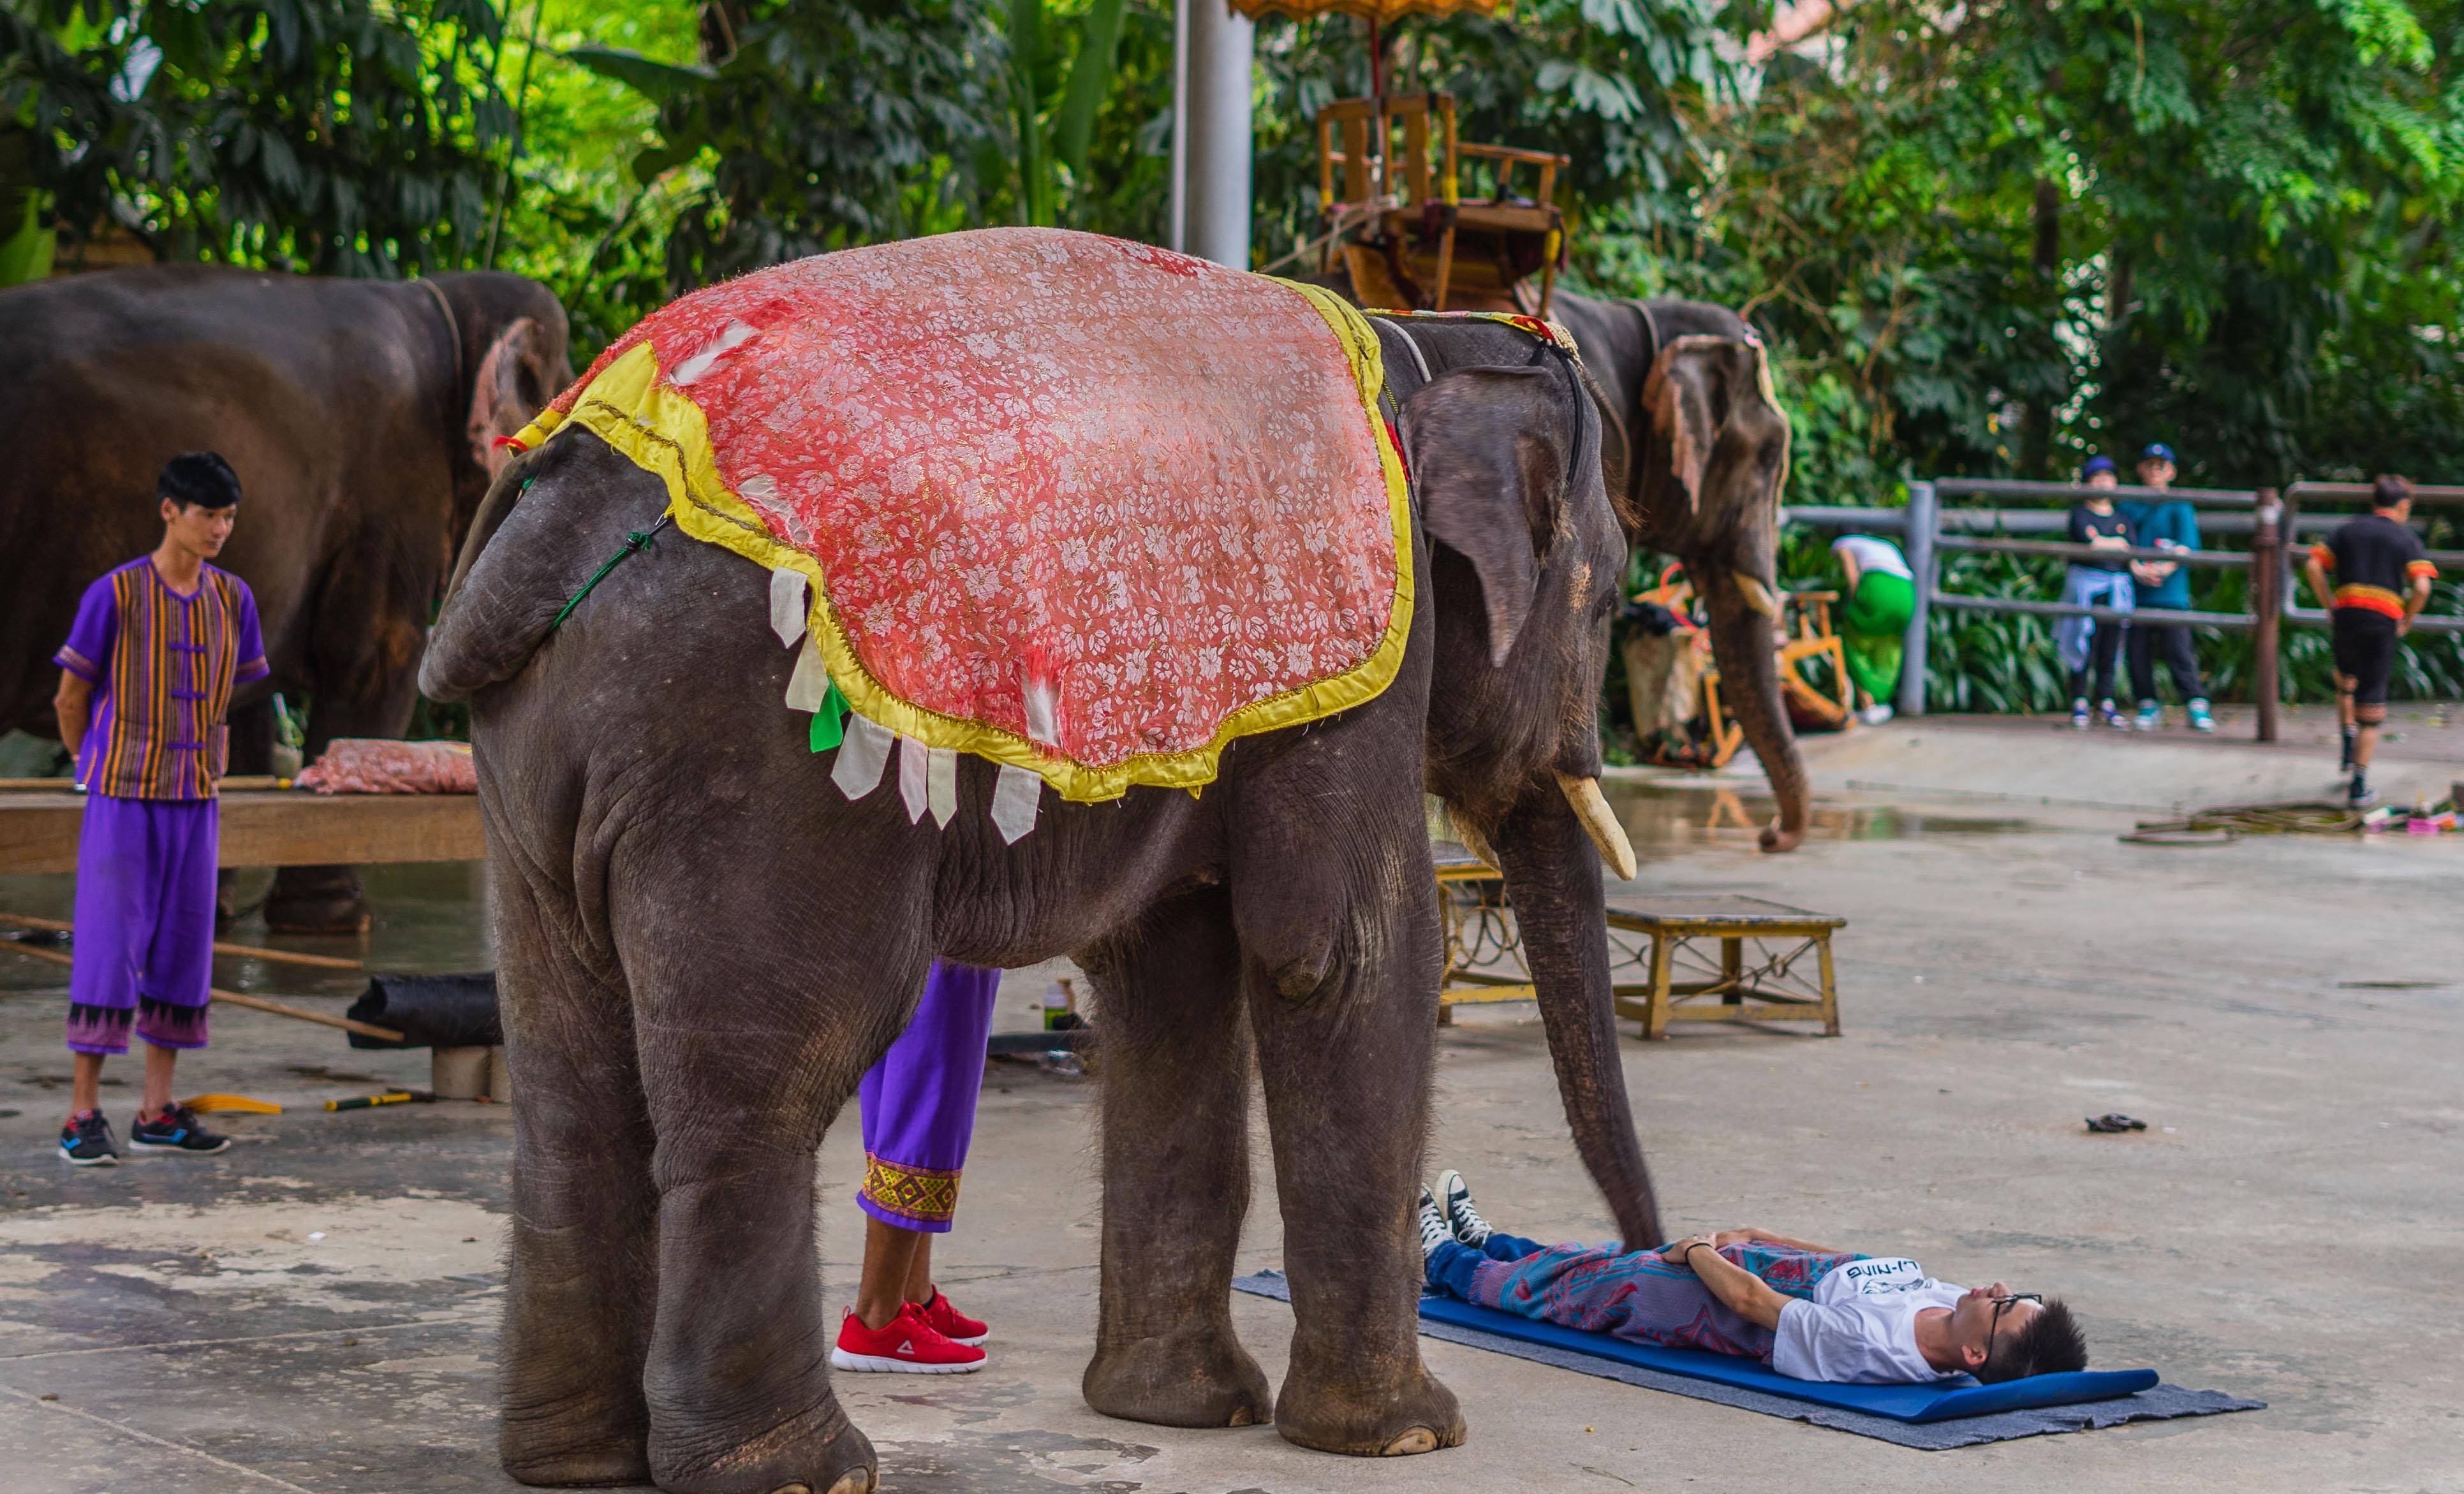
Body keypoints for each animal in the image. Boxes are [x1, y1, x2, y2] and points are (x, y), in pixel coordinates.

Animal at [0, 263, 572, 930]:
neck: (445, 301)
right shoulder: (390, 490)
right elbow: (376, 660)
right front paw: (334, 919)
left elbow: (244, 694)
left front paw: (218, 912)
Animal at [418, 228, 1655, 1486]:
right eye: (1608, 596)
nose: (1647, 1257)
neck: (1422, 338)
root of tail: (570, 498)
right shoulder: (1362, 667)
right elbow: (1337, 955)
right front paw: (1407, 1434)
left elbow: (1168, 973)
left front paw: (1177, 1410)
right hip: (745, 755)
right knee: (766, 1079)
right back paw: (805, 1466)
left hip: (539, 761)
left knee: (570, 1088)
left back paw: (573, 1459)